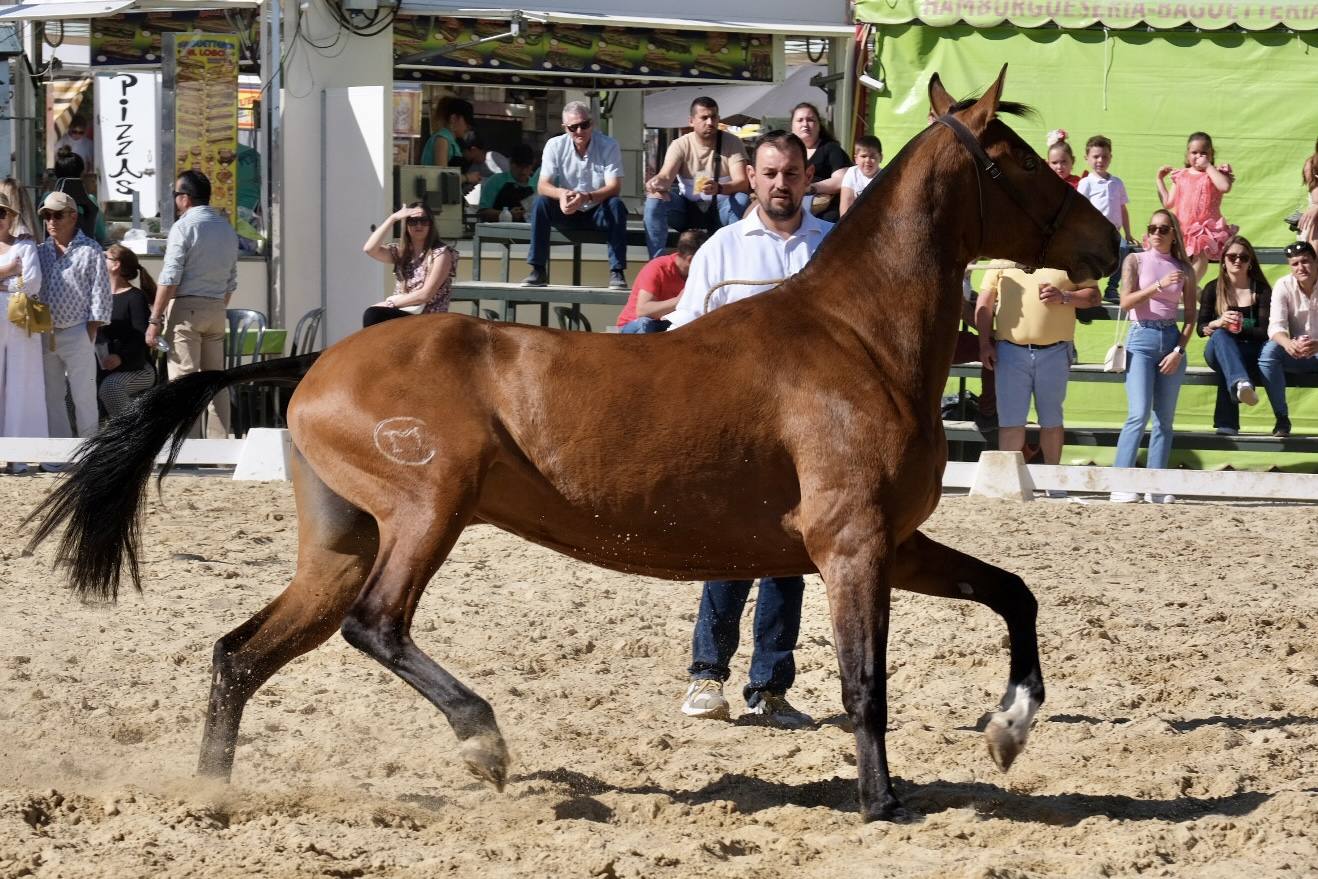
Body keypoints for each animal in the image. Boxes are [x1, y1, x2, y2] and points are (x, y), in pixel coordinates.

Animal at [23, 70, 1112, 827]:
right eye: (1022, 161)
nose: (1104, 245)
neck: (855, 339)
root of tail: (319, 361)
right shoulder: (849, 544)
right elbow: (863, 680)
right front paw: (885, 800)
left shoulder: (894, 540)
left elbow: (1014, 593)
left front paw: (1008, 729)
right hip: (427, 511)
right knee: (375, 626)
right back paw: (482, 742)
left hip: (341, 544)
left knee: (240, 654)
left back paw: (213, 796)